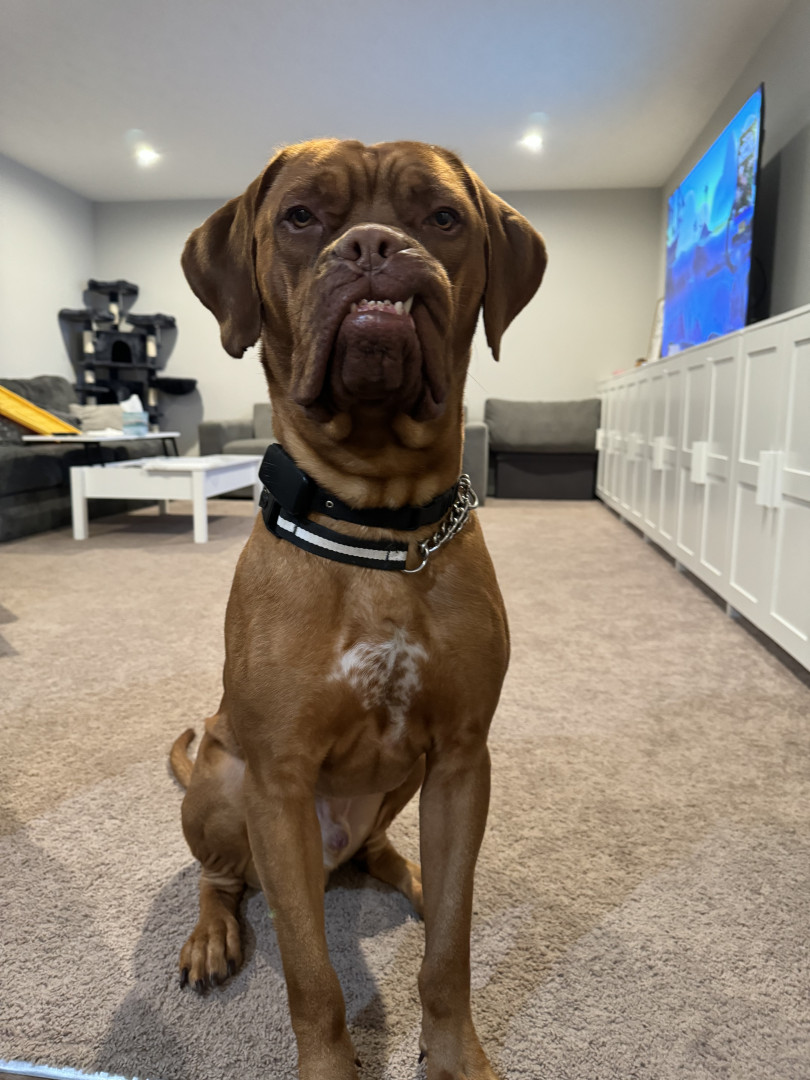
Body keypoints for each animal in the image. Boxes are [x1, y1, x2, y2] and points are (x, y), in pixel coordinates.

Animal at [170, 138, 546, 1080]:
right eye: (301, 217)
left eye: (443, 218)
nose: (374, 247)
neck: (374, 522)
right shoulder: (276, 783)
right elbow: (313, 976)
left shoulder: (461, 763)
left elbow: (450, 947)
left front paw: (453, 1054)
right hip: (223, 784)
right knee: (222, 878)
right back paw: (211, 936)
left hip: (400, 788)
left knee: (399, 866)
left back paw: (409, 879)